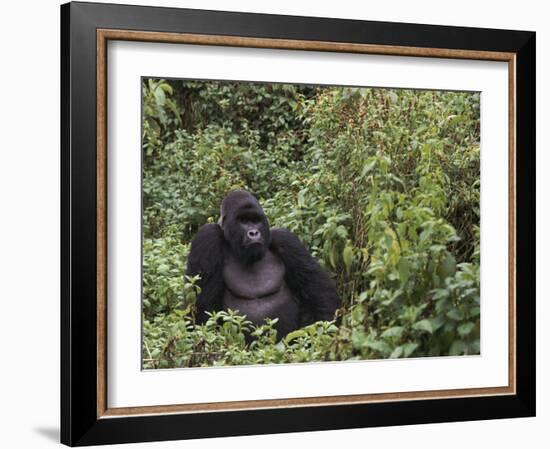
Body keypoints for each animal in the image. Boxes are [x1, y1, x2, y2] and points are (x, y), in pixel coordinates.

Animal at [188, 189, 342, 340]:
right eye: (243, 221)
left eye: (256, 221)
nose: (254, 233)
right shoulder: (207, 237)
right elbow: (203, 306)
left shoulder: (286, 239)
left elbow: (319, 291)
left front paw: (325, 334)